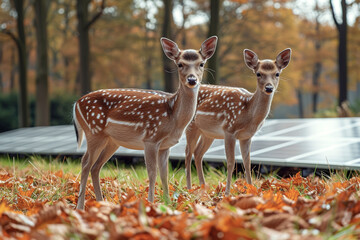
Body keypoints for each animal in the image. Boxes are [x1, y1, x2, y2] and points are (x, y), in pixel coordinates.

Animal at [73, 36, 217, 210]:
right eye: (180, 64)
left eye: (201, 64)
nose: (191, 79)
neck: (173, 117)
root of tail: (76, 104)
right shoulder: (150, 138)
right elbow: (152, 173)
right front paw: (151, 203)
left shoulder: (165, 145)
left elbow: (164, 174)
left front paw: (167, 204)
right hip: (94, 131)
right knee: (85, 163)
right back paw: (80, 207)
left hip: (111, 141)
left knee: (95, 167)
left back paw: (102, 203)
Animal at [184, 48, 292, 195]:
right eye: (258, 73)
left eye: (277, 73)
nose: (269, 88)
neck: (248, 114)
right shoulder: (229, 130)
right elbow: (231, 162)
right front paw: (227, 193)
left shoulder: (246, 136)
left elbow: (247, 162)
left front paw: (251, 189)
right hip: (191, 126)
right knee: (188, 153)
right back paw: (190, 189)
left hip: (208, 133)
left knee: (198, 152)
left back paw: (203, 187)